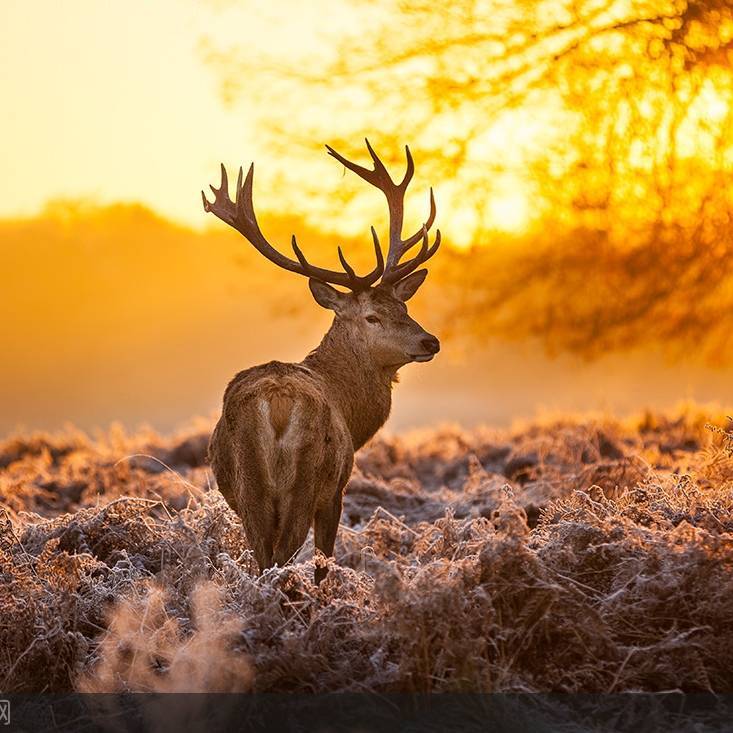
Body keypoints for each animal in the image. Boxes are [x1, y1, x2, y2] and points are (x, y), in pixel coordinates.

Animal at [200, 139, 440, 584]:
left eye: (404, 306)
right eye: (372, 316)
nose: (430, 340)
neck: (351, 410)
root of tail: (276, 404)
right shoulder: (337, 489)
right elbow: (324, 561)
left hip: (248, 487)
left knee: (263, 557)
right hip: (306, 480)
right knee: (283, 556)